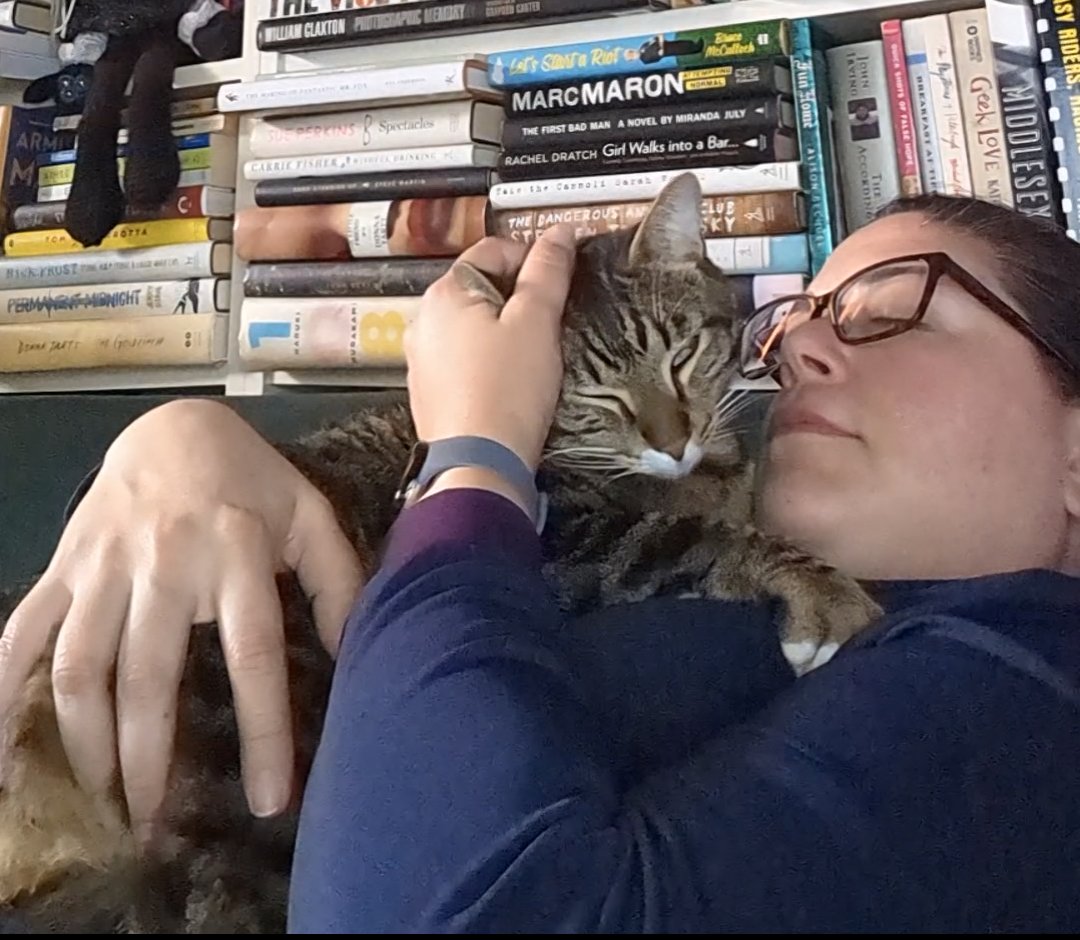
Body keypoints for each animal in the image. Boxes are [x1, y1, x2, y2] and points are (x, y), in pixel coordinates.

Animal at [0, 175, 881, 933]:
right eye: (596, 395)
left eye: (679, 355)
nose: (674, 441)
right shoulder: (571, 539)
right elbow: (688, 537)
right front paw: (823, 593)